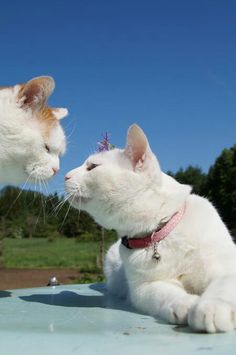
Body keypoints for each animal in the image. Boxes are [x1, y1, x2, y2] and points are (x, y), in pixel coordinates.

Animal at [65, 124, 236, 334]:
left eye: (92, 167)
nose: (65, 175)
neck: (160, 232)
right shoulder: (144, 288)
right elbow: (166, 294)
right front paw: (186, 304)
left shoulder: (227, 268)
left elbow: (222, 286)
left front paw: (211, 306)